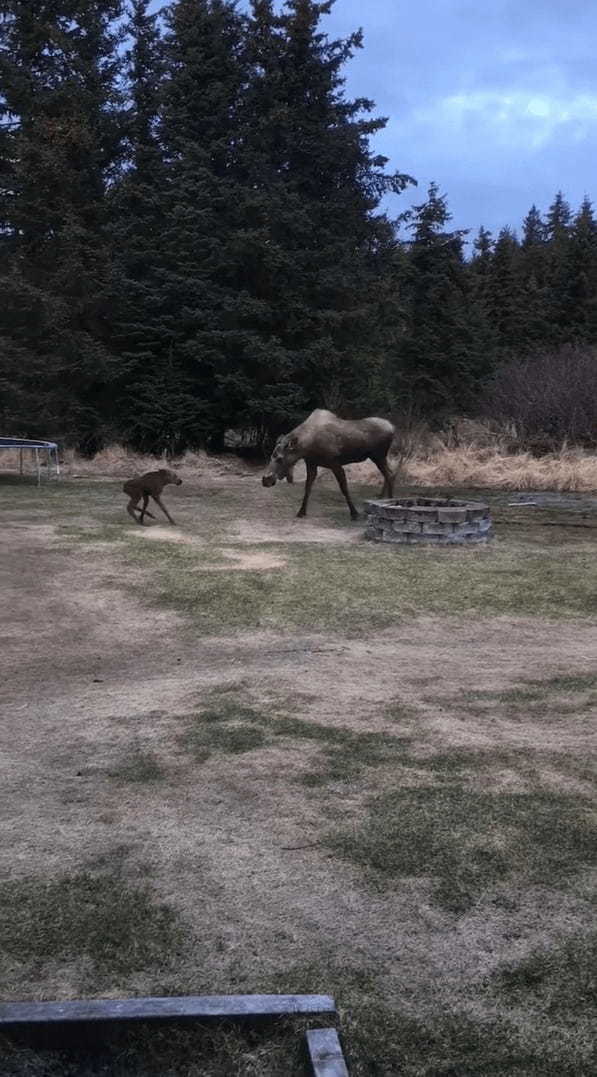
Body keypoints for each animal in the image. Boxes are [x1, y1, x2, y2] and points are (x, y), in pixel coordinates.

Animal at [261, 409, 394, 519]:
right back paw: (382, 497)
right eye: (271, 456)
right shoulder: (311, 464)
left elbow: (344, 488)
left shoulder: (335, 463)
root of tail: (393, 428)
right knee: (388, 473)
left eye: (280, 458)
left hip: (379, 455)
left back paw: (390, 500)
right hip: (378, 457)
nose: (266, 479)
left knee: (390, 474)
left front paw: (354, 513)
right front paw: (301, 512)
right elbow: (307, 488)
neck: (307, 447)